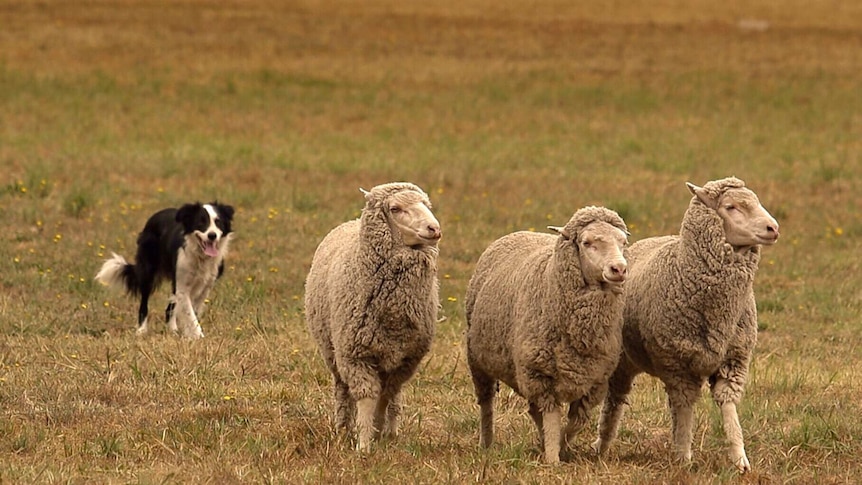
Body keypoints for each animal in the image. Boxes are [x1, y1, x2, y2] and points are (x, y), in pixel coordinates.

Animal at [95, 200, 233, 336]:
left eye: (218, 222)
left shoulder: (205, 287)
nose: (212, 235)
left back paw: (173, 331)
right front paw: (198, 336)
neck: (200, 257)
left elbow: (193, 313)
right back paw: (142, 330)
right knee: (144, 303)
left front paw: (189, 335)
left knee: (169, 309)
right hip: (148, 271)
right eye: (201, 223)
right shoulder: (182, 287)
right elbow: (190, 315)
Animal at [306, 182, 442, 450]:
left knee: (394, 397)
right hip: (333, 351)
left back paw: (391, 431)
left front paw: (378, 433)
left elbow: (385, 396)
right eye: (395, 208)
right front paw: (364, 444)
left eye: (425, 204)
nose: (434, 228)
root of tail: (350, 221)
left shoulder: (406, 359)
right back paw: (342, 428)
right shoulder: (355, 355)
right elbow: (368, 397)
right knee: (342, 389)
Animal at [470, 204, 632, 462]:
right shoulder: (541, 376)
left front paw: (562, 448)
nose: (619, 268)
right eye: (587, 242)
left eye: (623, 242)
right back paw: (486, 443)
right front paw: (554, 459)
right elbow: (552, 419)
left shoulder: (594, 381)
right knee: (487, 404)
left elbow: (575, 422)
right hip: (479, 362)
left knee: (533, 410)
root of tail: (520, 232)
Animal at [592, 176, 784, 470]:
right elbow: (683, 411)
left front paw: (740, 459)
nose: (773, 228)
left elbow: (728, 406)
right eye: (731, 207)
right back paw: (602, 443)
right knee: (615, 400)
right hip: (622, 359)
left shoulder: (732, 360)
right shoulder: (678, 364)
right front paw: (683, 456)